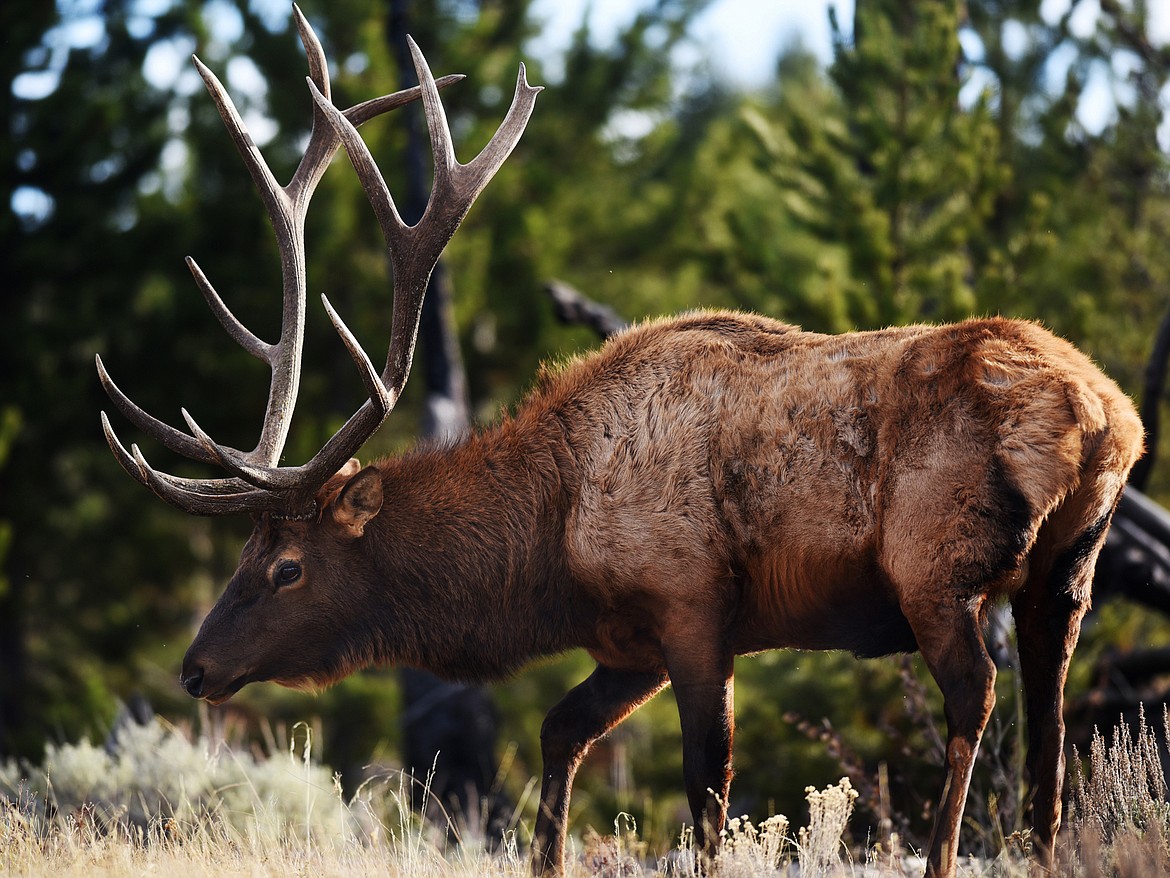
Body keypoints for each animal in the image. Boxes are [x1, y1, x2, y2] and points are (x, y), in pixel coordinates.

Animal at [98, 8, 1141, 878]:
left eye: (286, 567)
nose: (195, 668)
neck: (551, 550)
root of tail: (1104, 415)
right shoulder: (630, 641)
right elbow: (561, 733)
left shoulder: (693, 605)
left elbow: (707, 790)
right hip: (1067, 572)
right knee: (1050, 727)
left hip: (935, 564)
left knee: (976, 698)